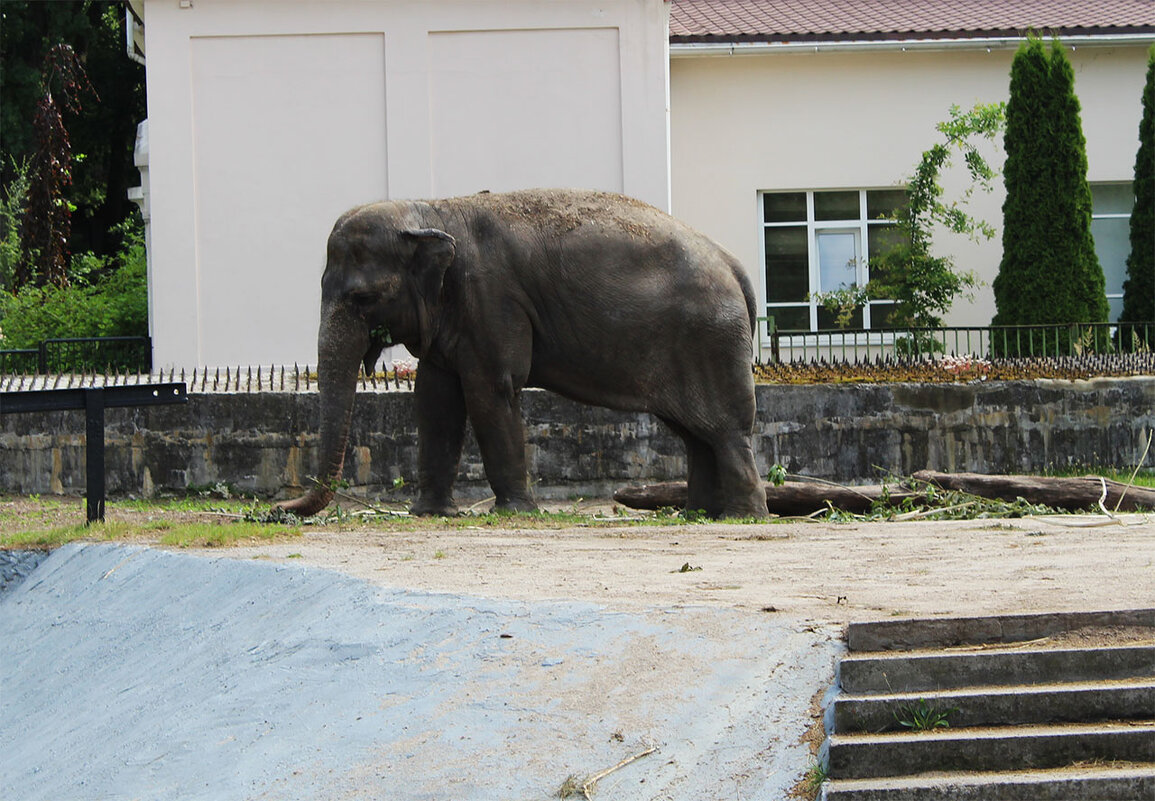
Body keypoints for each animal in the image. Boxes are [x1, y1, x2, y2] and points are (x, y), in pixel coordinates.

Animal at [276, 191, 771, 523]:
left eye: (363, 298)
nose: (277, 508)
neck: (432, 210)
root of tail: (735, 266)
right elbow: (435, 399)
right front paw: (430, 514)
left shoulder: (492, 300)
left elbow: (489, 390)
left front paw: (515, 511)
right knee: (695, 434)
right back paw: (698, 514)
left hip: (709, 341)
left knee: (725, 431)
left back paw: (743, 517)